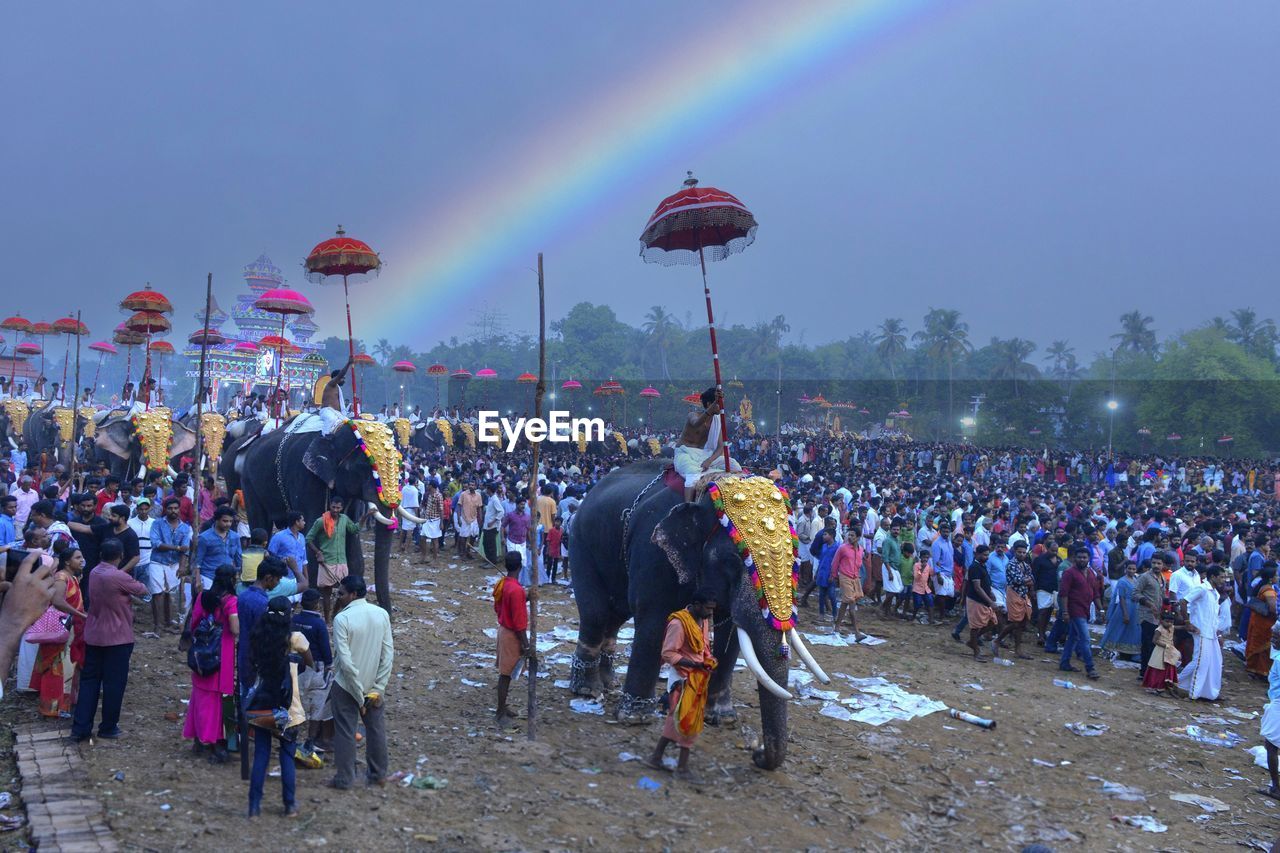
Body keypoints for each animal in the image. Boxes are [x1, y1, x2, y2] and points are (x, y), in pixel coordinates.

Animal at [220, 414, 419, 607]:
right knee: (260, 525)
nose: (388, 612)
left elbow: (352, 534)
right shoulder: (305, 479)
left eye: (400, 465)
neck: (334, 432)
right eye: (364, 466)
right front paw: (315, 593)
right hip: (249, 483)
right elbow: (311, 532)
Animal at [568, 461, 824, 768]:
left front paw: (723, 718)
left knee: (615, 615)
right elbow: (653, 619)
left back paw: (609, 684)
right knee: (596, 613)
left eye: (794, 561)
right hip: (581, 543)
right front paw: (635, 718)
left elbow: (731, 634)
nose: (756, 751)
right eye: (734, 560)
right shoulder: (653, 550)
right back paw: (587, 690)